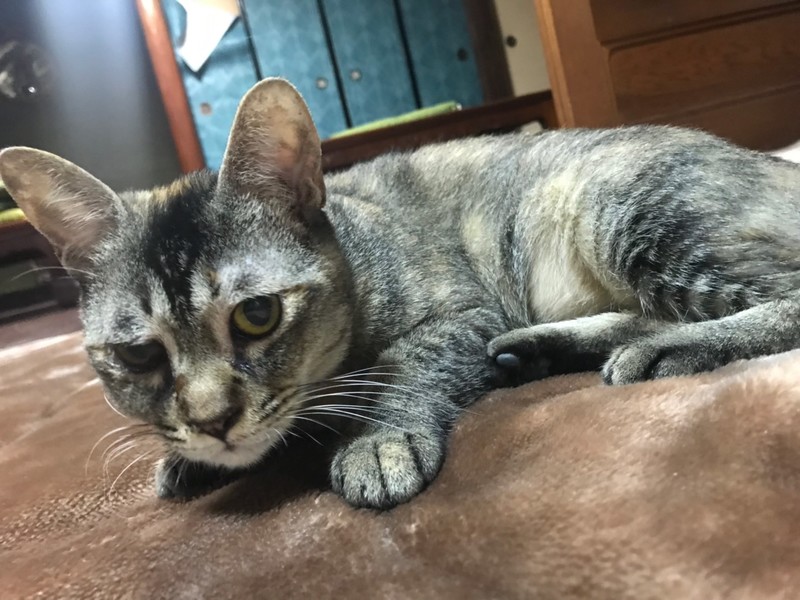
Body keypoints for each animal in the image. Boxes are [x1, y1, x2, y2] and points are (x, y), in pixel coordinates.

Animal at [1, 78, 799, 510]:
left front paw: (377, 439)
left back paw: (668, 349)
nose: (213, 422)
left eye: (257, 315)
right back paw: (535, 351)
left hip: (619, 205)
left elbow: (406, 366)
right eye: (139, 356)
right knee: (636, 313)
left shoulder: (462, 312)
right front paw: (188, 455)